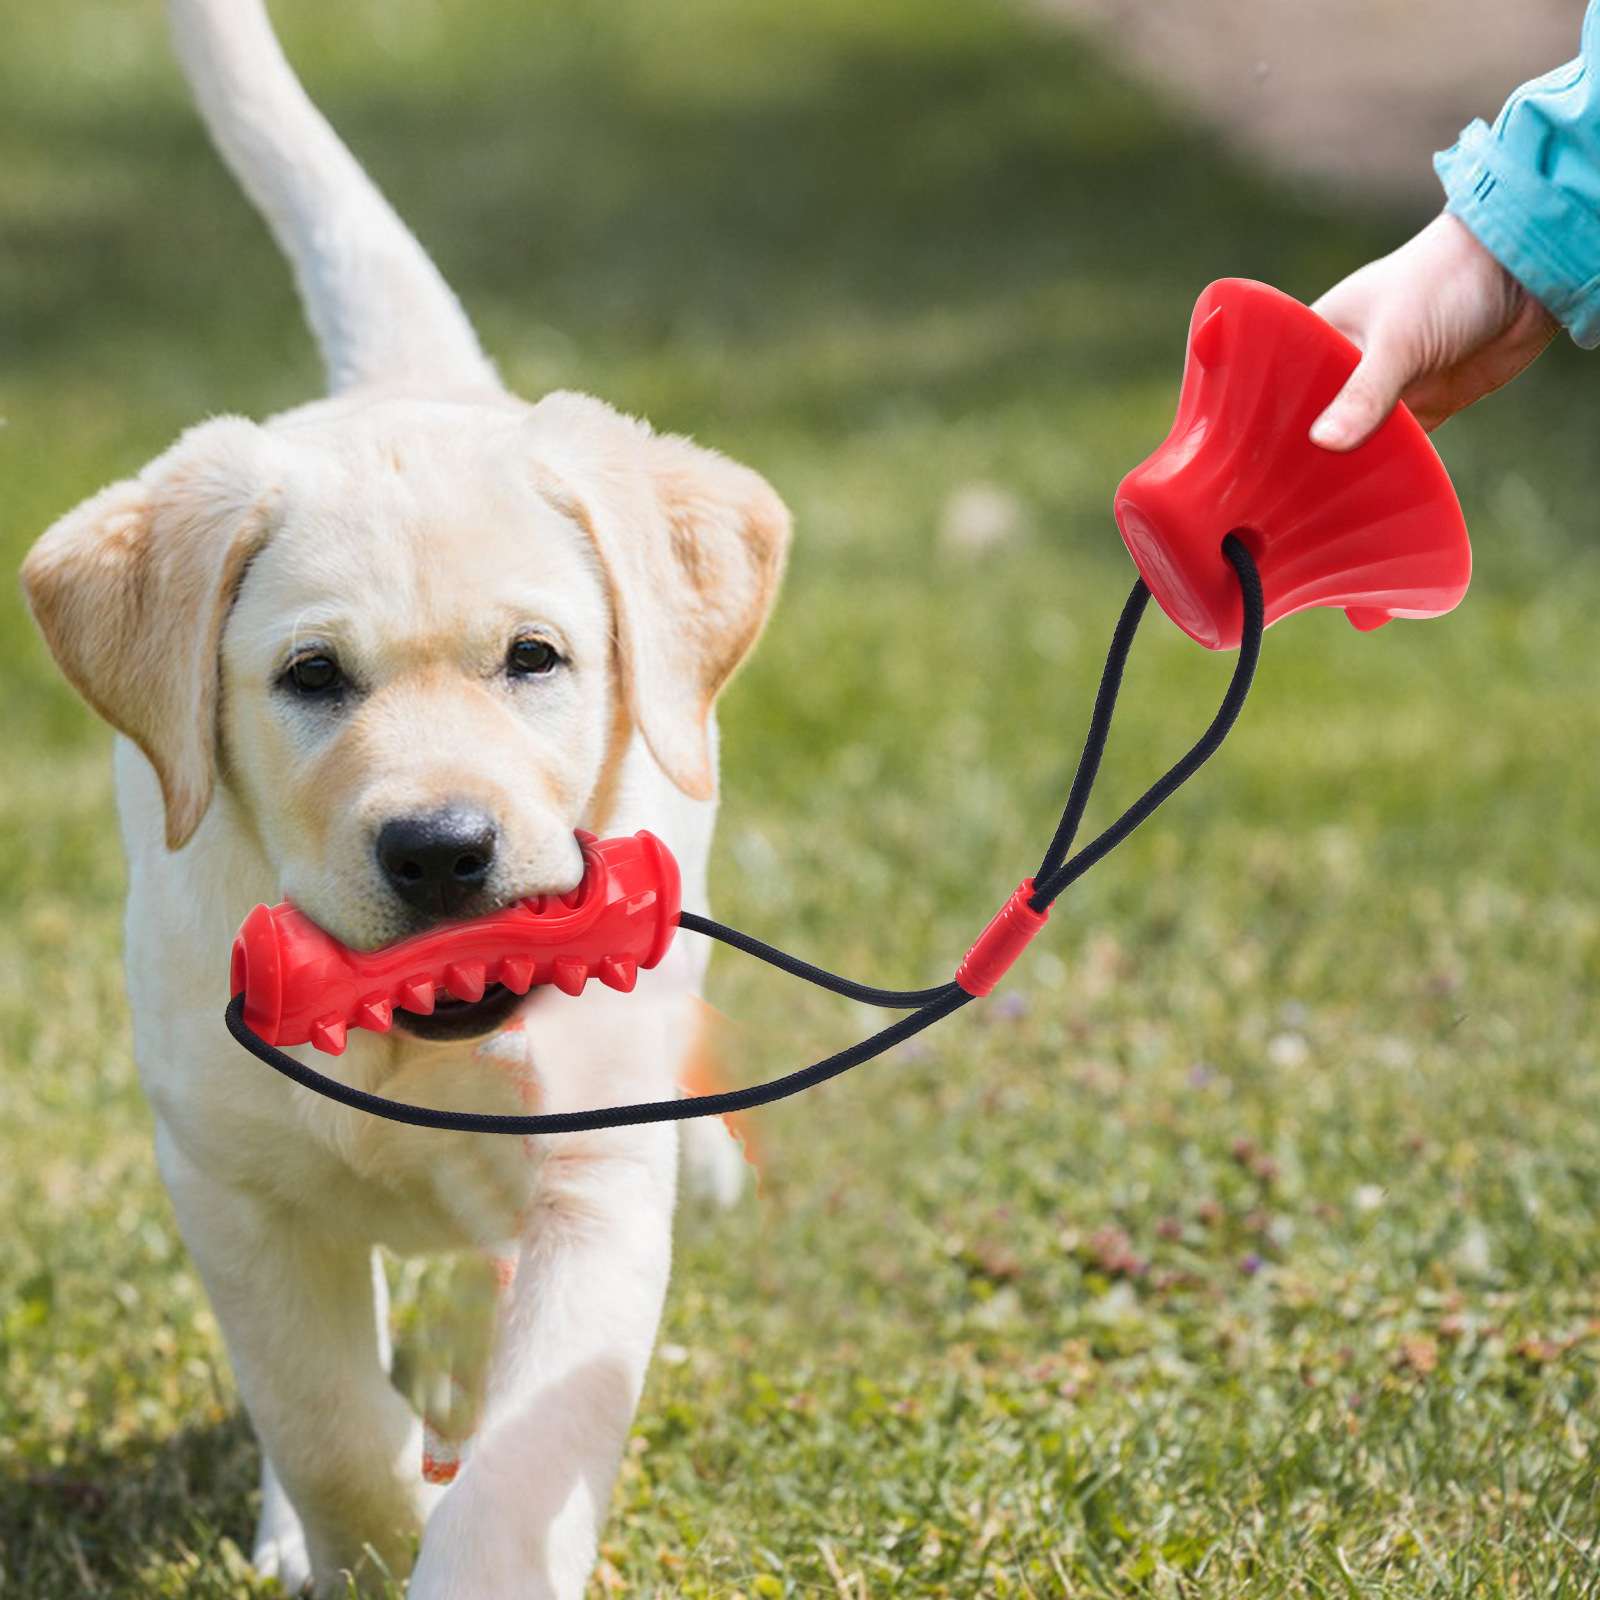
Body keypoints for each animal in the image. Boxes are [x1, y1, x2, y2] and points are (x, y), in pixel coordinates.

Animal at [15, 3, 784, 1600]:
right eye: (311, 677)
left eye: (535, 658)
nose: (441, 851)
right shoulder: (229, 1185)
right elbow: (321, 1412)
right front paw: (354, 1534)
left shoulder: (588, 1188)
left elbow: (526, 1458)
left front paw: (466, 1548)